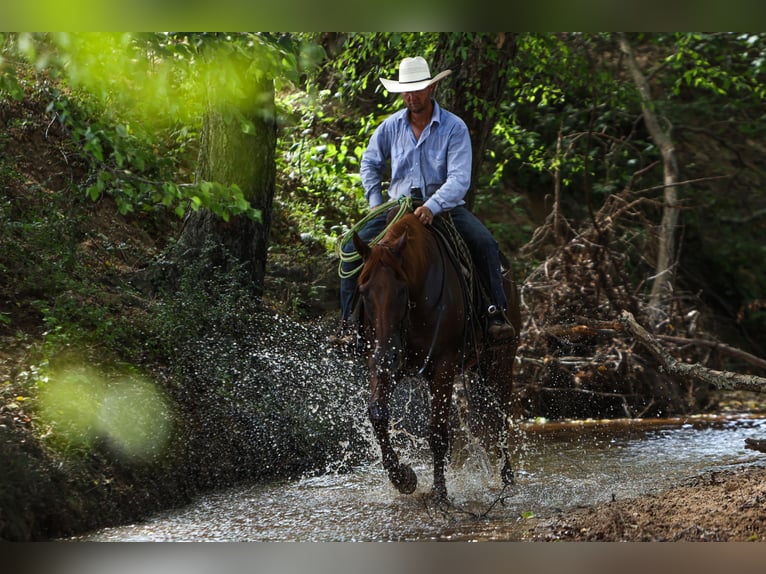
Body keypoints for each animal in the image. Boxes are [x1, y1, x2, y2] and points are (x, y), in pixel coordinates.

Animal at [352, 212, 520, 500]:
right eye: (363, 291)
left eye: (401, 290)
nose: (387, 355)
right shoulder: (382, 363)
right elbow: (378, 415)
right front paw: (403, 478)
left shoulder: (442, 366)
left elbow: (438, 432)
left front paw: (439, 492)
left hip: (500, 362)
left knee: (500, 419)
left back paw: (507, 479)